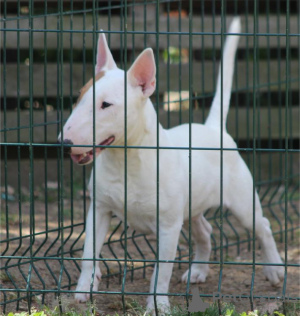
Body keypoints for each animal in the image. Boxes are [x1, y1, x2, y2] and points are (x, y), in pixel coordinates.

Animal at [58, 17, 284, 314]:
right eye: (78, 97)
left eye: (106, 104)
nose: (63, 143)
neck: (126, 160)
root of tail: (213, 129)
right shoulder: (99, 209)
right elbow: (88, 253)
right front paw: (84, 290)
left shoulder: (167, 225)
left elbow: (161, 270)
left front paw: (157, 305)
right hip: (190, 209)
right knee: (206, 231)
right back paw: (198, 271)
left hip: (242, 202)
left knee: (263, 226)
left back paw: (274, 270)